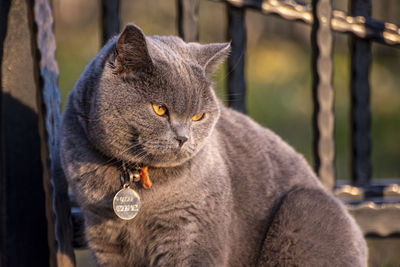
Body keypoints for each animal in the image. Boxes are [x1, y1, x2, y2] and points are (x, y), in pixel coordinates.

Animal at [60, 24, 368, 266]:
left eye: (198, 116)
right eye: (160, 109)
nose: (183, 138)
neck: (136, 180)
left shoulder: (192, 234)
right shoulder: (104, 236)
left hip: (302, 207)